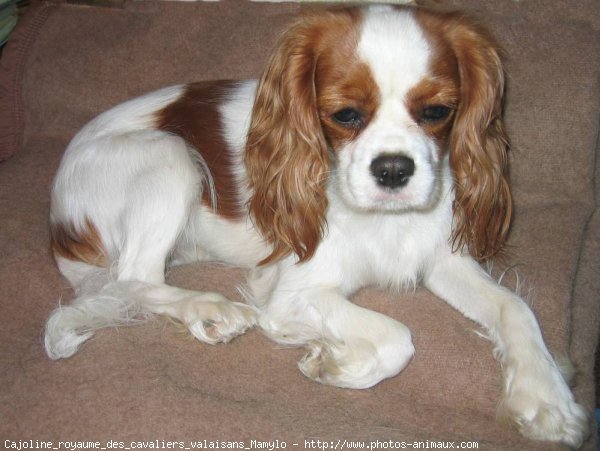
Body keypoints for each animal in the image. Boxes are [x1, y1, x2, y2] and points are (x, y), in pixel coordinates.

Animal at [44, 4, 588, 448]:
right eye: (344, 115)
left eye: (437, 112)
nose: (394, 169)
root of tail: (58, 217)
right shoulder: (293, 293)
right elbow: (398, 338)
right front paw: (332, 363)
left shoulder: (440, 259)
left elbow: (515, 307)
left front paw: (546, 397)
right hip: (169, 155)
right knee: (134, 276)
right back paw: (208, 307)